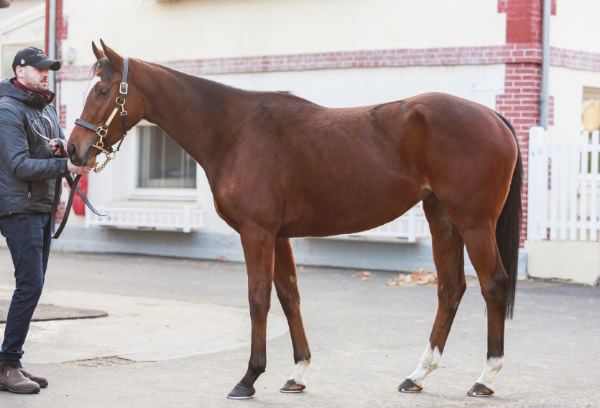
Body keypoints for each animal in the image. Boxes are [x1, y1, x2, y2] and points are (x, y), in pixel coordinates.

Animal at [68, 41, 524, 398]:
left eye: (103, 89)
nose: (73, 149)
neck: (235, 131)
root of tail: (492, 116)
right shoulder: (279, 236)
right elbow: (289, 296)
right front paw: (297, 372)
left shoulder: (257, 233)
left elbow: (258, 299)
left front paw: (248, 378)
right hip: (442, 216)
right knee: (450, 289)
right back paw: (417, 375)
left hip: (474, 221)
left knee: (492, 285)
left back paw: (485, 378)